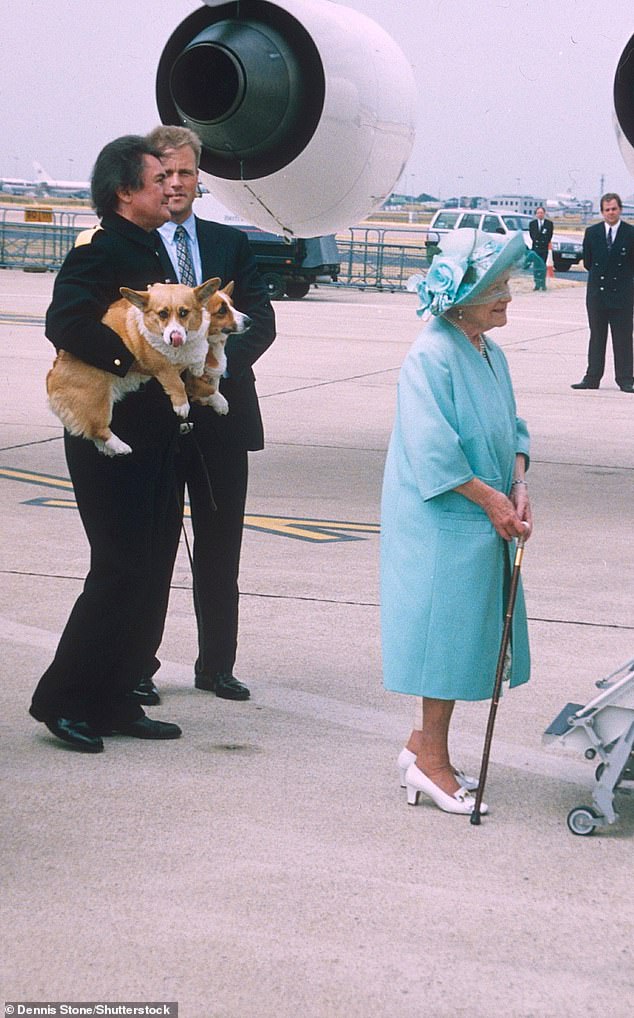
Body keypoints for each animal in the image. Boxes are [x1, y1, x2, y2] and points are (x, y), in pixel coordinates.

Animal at [46, 276, 220, 456]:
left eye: (184, 312)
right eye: (162, 314)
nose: (175, 337)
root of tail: (51, 376)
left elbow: (201, 354)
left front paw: (200, 370)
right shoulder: (161, 366)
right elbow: (176, 383)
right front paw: (182, 406)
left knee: (92, 434)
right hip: (98, 401)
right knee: (99, 430)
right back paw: (121, 447)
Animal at [185, 280, 251, 411]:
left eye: (232, 305)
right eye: (222, 310)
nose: (249, 321)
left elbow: (215, 384)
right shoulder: (189, 377)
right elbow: (209, 389)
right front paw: (221, 403)